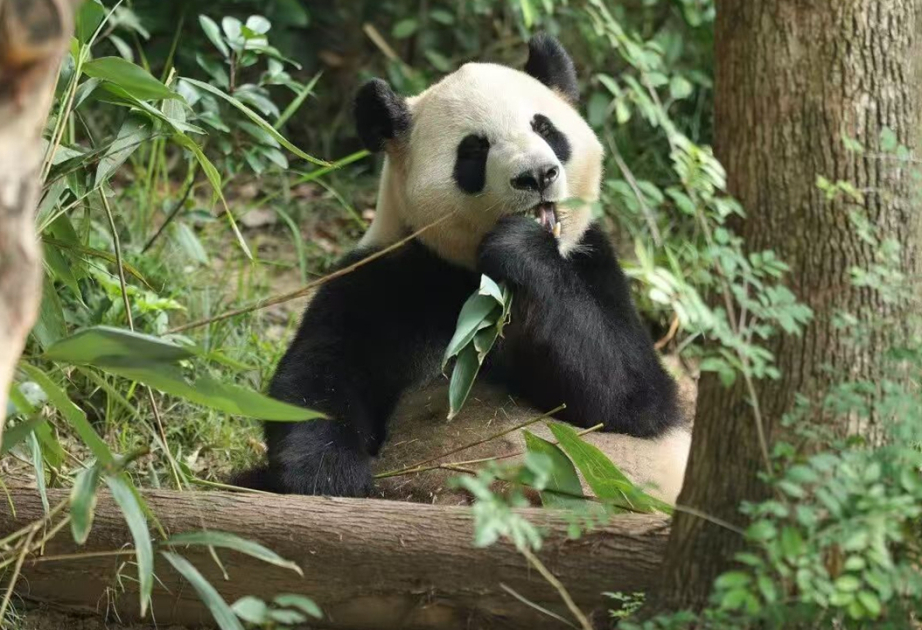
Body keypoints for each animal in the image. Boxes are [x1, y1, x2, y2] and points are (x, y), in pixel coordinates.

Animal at [235, 34, 689, 499]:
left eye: (545, 128)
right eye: (474, 148)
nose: (537, 175)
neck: (474, 276)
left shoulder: (590, 261)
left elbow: (631, 397)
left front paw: (521, 247)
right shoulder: (387, 275)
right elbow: (317, 382)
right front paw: (332, 480)